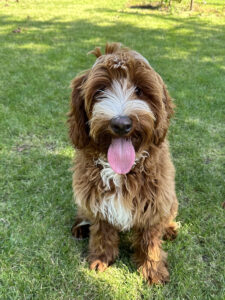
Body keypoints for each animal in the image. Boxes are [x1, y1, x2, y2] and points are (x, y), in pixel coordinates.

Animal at [67, 42, 178, 284]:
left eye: (139, 90)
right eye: (100, 91)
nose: (121, 124)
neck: (121, 171)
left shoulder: (155, 201)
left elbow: (150, 239)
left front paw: (152, 269)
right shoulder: (96, 202)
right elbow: (102, 233)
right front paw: (101, 258)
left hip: (171, 200)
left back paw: (169, 228)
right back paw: (80, 226)